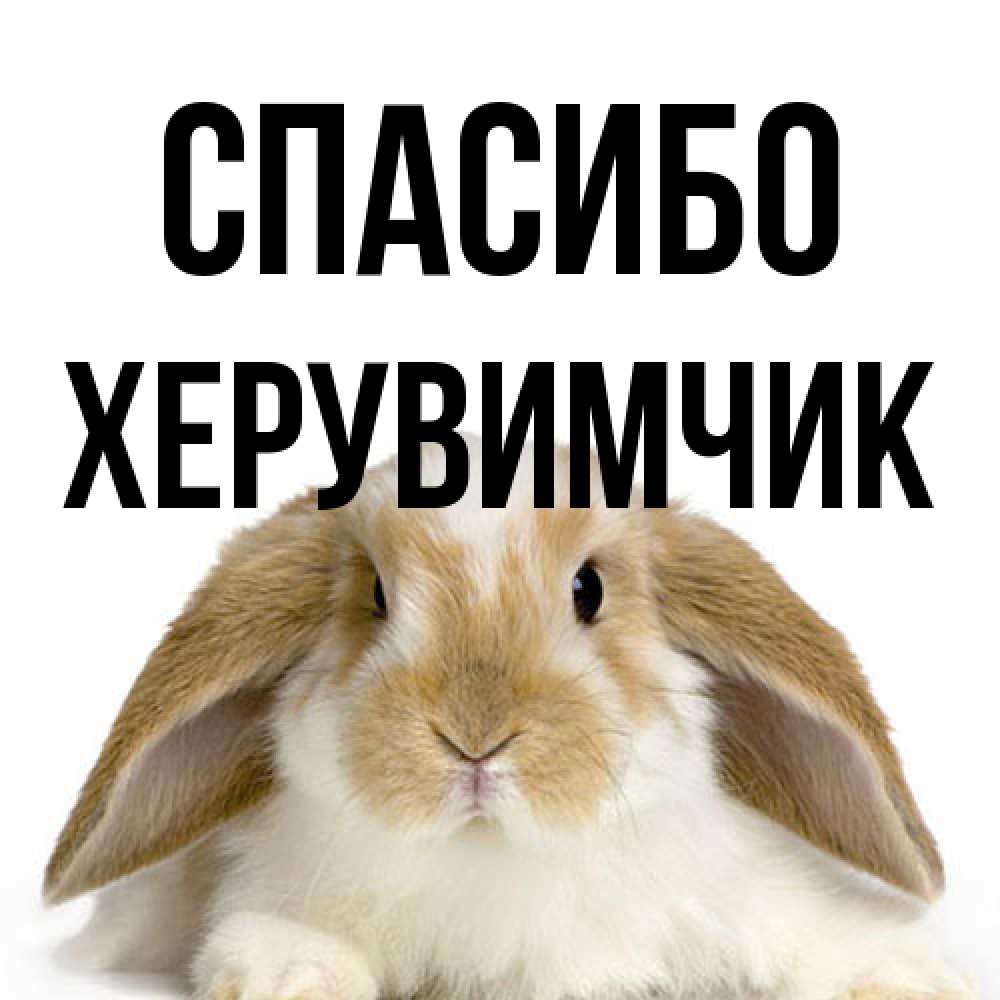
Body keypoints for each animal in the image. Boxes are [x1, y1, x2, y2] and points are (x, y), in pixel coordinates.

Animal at [45, 437, 975, 1000]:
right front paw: (290, 977)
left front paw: (909, 978)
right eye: (376, 596)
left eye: (589, 589)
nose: (475, 737)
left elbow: (818, 939)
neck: (495, 857)